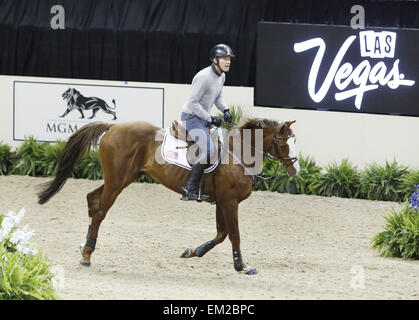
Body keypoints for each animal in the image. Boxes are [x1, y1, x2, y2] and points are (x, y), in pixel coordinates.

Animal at [37, 118, 298, 276]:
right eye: (284, 142)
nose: (296, 170)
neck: (238, 153)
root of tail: (114, 126)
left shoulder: (221, 202)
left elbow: (221, 234)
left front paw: (193, 251)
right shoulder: (229, 201)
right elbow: (234, 235)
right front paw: (241, 266)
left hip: (121, 180)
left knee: (92, 200)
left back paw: (85, 247)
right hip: (117, 183)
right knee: (100, 211)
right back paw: (87, 255)